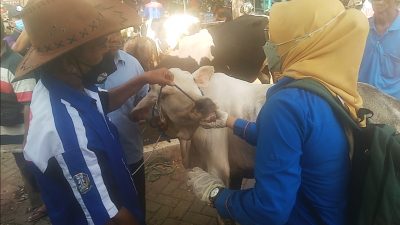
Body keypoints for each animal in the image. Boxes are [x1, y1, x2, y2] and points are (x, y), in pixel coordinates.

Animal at [132, 66, 400, 187]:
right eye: (166, 92)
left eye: (194, 86)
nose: (207, 106)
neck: (187, 139)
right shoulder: (236, 172)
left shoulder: (218, 168)